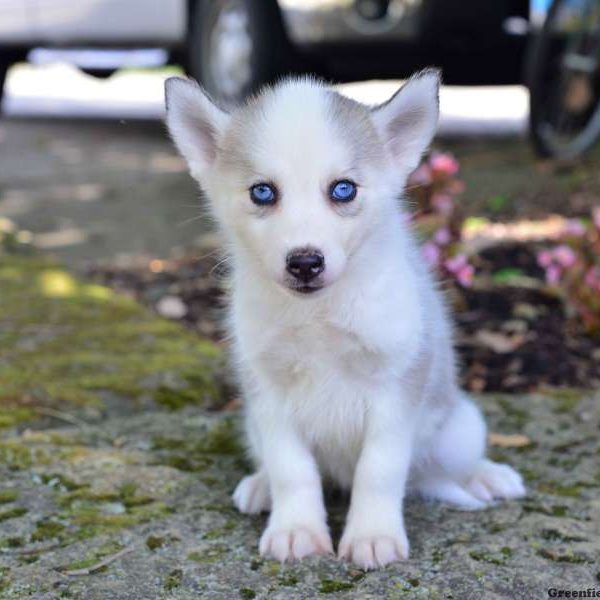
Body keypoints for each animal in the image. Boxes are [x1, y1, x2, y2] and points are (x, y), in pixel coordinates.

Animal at [164, 70, 524, 568]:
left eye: (343, 189)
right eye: (262, 192)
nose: (305, 263)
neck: (318, 313)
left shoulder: (395, 386)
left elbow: (379, 469)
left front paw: (373, 536)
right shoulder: (269, 392)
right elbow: (291, 468)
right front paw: (296, 530)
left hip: (461, 429)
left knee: (450, 463)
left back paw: (489, 477)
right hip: (251, 426)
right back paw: (259, 487)